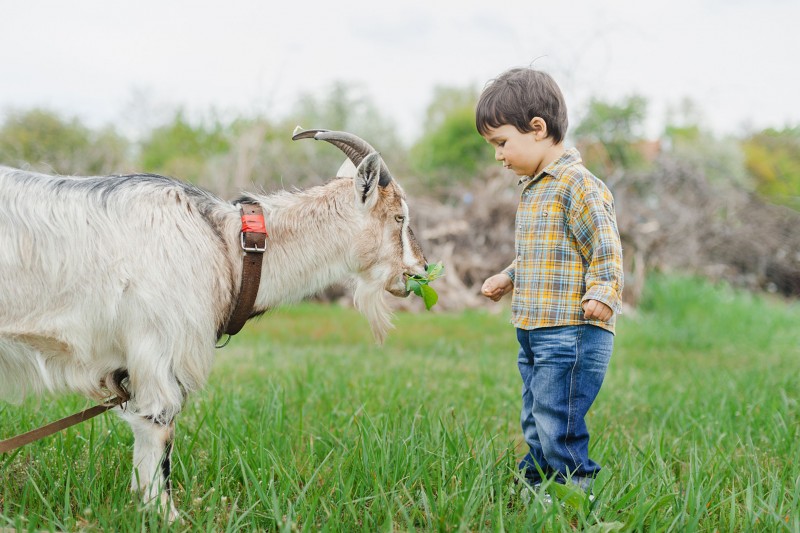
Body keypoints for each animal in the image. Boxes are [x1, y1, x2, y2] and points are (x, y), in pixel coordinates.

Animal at [0, 129, 428, 520]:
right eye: (399, 217)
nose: (421, 269)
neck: (224, 247)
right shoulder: (159, 348)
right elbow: (158, 428)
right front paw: (165, 516)